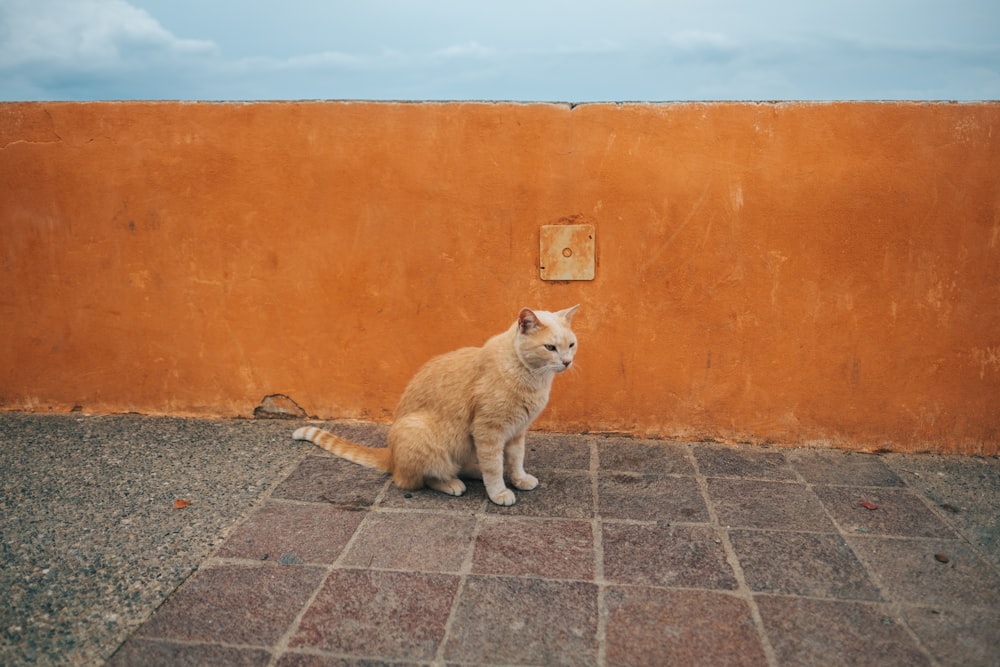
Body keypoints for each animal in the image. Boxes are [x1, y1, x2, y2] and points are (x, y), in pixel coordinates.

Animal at [292, 306, 580, 506]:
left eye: (571, 345)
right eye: (550, 347)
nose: (567, 362)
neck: (530, 376)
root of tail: (391, 455)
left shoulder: (517, 432)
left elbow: (516, 459)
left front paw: (519, 478)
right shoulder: (489, 432)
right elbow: (494, 466)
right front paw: (498, 491)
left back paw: (472, 471)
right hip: (420, 432)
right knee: (414, 479)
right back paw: (452, 483)